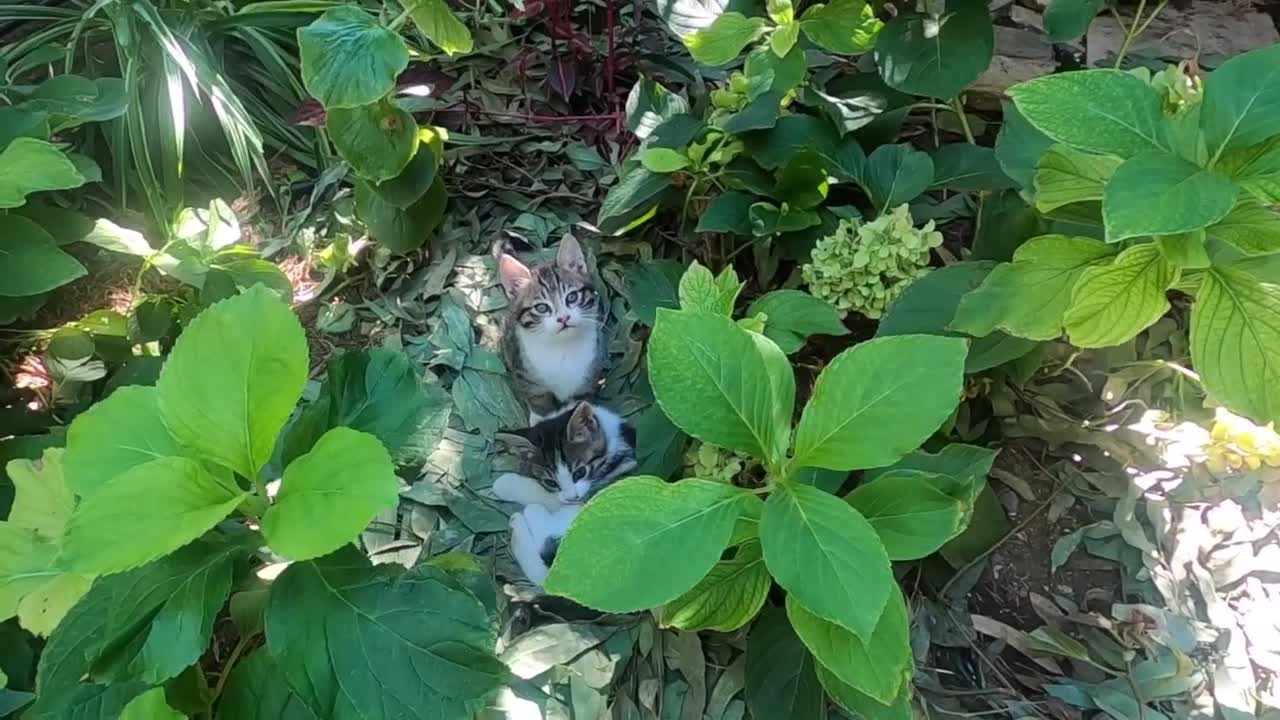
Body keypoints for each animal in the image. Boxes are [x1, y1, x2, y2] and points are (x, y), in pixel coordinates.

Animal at [494, 238, 604, 420]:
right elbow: (538, 400)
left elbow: (580, 402)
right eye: (542, 308)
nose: (563, 318)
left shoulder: (590, 375)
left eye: (572, 297)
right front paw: (541, 418)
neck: (562, 347)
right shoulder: (526, 375)